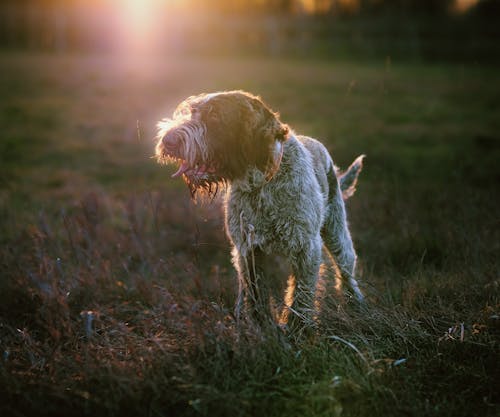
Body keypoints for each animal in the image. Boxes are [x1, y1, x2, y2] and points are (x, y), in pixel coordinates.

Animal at [155, 90, 364, 324]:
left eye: (215, 117)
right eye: (192, 112)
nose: (168, 140)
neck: (260, 184)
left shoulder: (306, 248)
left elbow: (301, 296)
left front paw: (297, 329)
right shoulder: (248, 250)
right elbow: (255, 296)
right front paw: (259, 326)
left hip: (337, 234)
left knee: (346, 272)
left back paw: (356, 306)